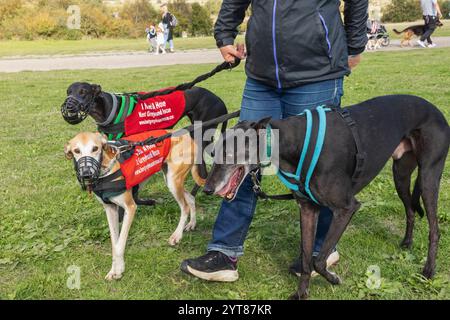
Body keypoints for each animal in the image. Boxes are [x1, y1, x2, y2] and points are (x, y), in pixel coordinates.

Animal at [63, 132, 204, 280]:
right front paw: (114, 269)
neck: (106, 168)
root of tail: (187, 136)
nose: (86, 174)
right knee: (191, 198)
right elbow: (115, 244)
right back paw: (192, 223)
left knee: (185, 207)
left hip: (173, 181)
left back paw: (177, 235)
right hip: (172, 180)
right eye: (76, 151)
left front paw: (118, 271)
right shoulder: (110, 209)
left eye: (95, 148)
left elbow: (120, 244)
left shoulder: (130, 207)